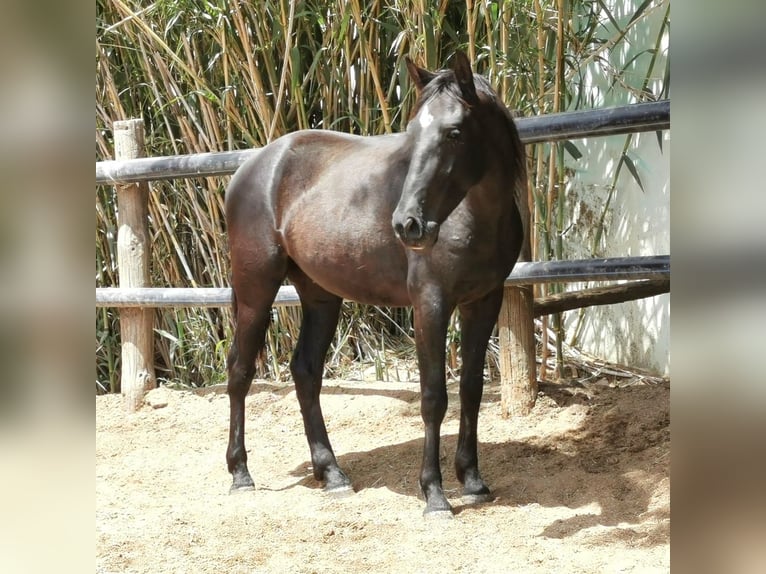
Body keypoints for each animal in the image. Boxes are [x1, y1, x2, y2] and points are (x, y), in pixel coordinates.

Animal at [224, 53, 528, 516]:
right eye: (413, 132)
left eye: (454, 132)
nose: (408, 224)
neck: (473, 218)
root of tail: (253, 167)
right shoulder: (431, 305)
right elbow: (434, 396)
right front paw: (435, 494)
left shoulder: (483, 302)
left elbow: (472, 390)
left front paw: (473, 481)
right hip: (256, 290)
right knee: (240, 370)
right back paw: (241, 474)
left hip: (320, 295)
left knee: (305, 371)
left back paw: (331, 473)